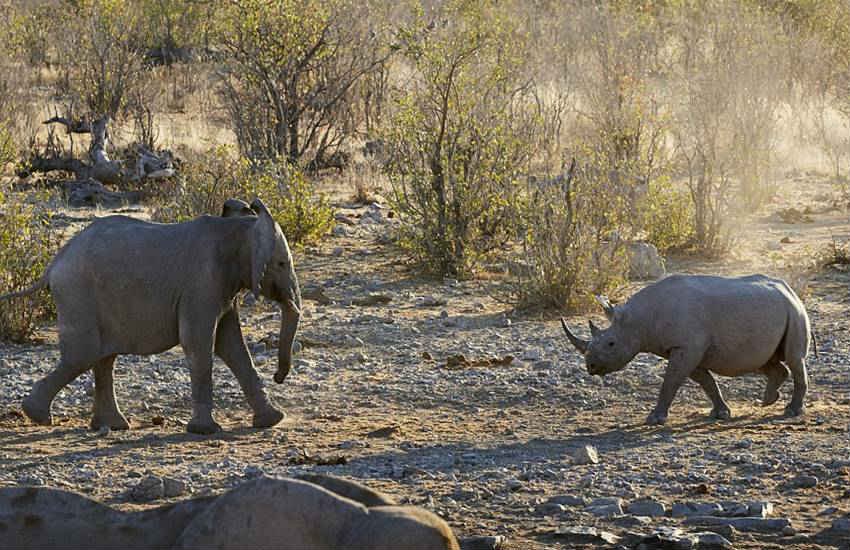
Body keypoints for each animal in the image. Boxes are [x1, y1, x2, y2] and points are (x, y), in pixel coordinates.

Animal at [0, 198, 301, 434]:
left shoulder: (224, 286)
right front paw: (205, 431)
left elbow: (232, 346)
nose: (278, 376)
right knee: (83, 355)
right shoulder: (201, 284)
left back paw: (111, 425)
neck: (240, 228)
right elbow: (200, 343)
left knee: (102, 358)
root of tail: (53, 264)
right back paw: (38, 416)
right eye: (281, 264)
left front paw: (273, 420)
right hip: (77, 294)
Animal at [561, 274, 813, 425]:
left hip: (794, 311)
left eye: (611, 344)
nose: (590, 366)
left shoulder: (687, 347)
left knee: (793, 358)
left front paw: (654, 419)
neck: (639, 320)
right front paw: (720, 413)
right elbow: (705, 381)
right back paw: (768, 401)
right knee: (765, 361)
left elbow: (671, 380)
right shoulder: (686, 349)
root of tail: (791, 291)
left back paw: (791, 411)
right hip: (777, 311)